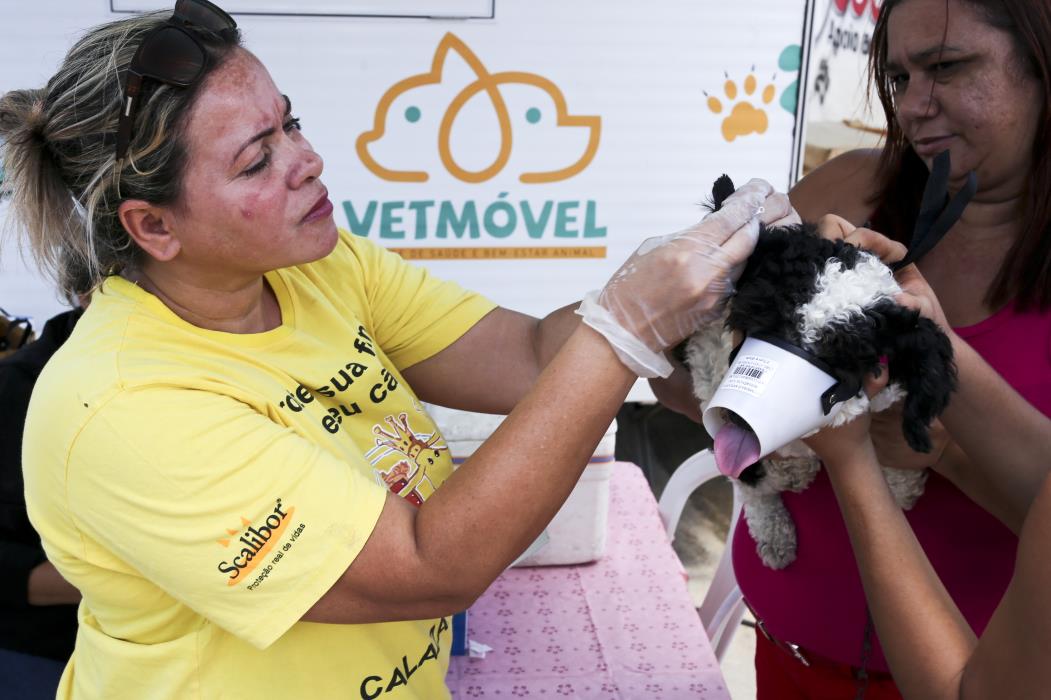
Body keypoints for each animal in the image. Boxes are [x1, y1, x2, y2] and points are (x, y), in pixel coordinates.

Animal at [681, 175, 962, 567]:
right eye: (758, 317)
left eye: (841, 360)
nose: (737, 420)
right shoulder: (707, 363)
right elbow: (748, 480)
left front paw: (901, 485)